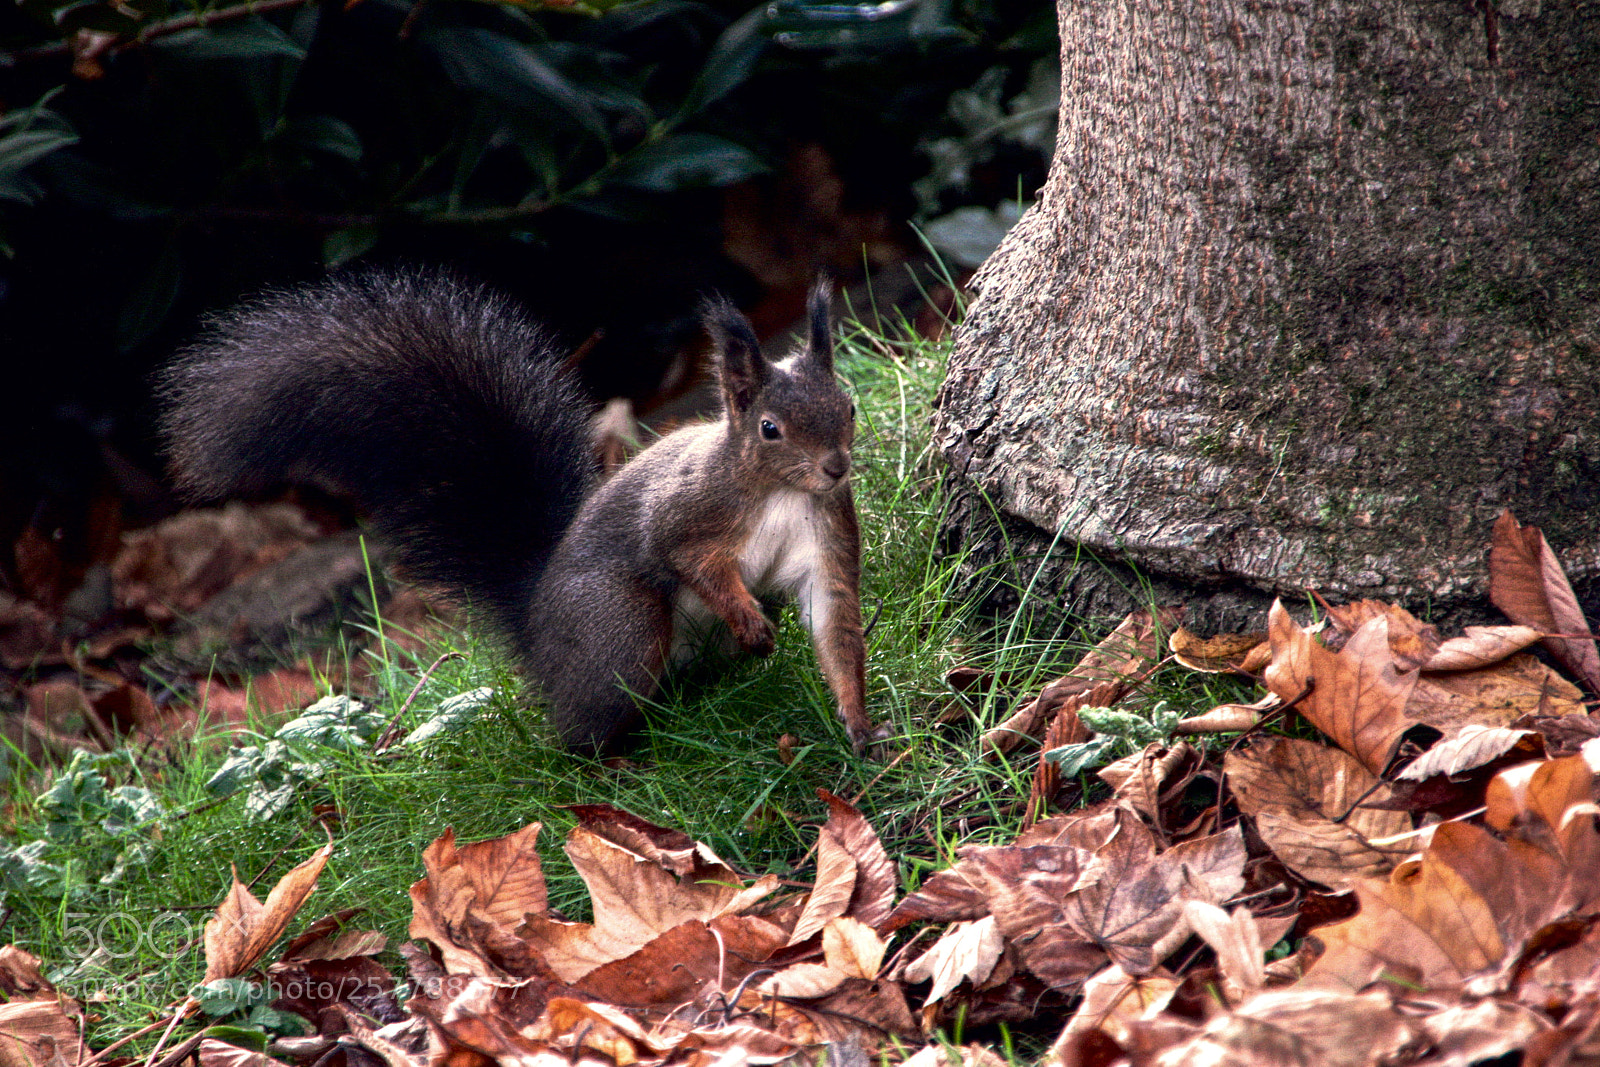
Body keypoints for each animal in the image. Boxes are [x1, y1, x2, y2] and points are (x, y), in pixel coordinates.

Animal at [158, 269, 884, 754]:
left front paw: (859, 725)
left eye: (848, 406)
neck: (779, 491)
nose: (835, 467)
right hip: (618, 626)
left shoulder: (826, 534)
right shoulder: (690, 510)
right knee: (580, 729)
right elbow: (687, 556)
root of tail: (534, 623)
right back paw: (614, 762)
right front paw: (749, 619)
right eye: (769, 429)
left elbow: (835, 623)